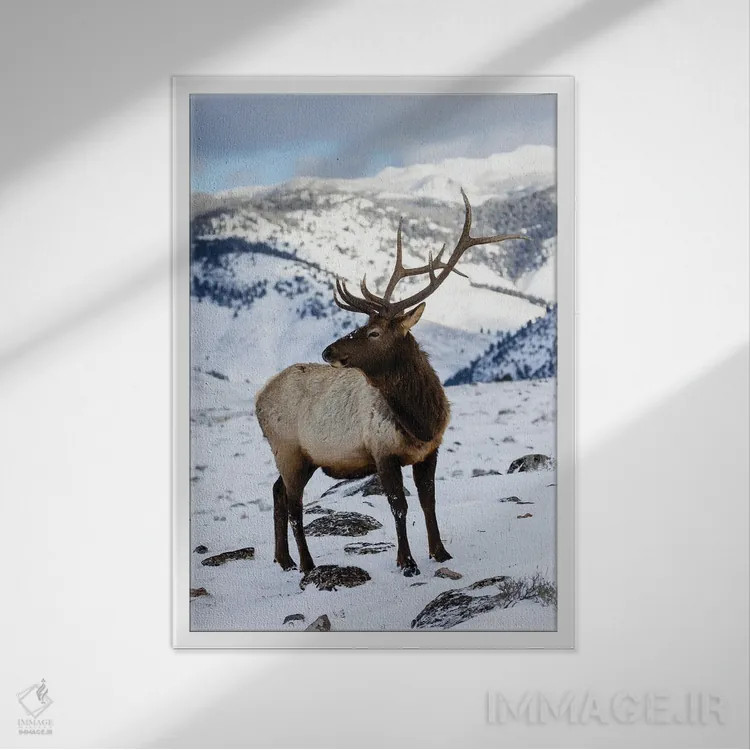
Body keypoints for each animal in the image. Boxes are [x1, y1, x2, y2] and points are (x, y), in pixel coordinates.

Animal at [255, 189, 525, 576]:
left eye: (373, 331)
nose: (328, 350)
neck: (421, 420)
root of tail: (258, 398)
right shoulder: (382, 452)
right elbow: (399, 506)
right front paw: (407, 562)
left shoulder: (430, 451)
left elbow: (429, 502)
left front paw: (440, 552)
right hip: (289, 450)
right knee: (294, 506)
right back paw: (307, 564)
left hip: (299, 458)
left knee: (277, 492)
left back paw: (285, 559)